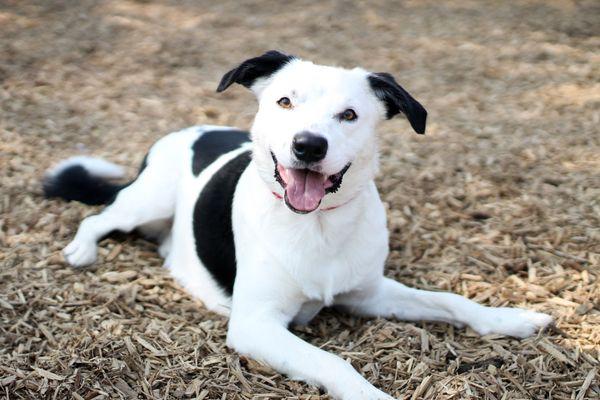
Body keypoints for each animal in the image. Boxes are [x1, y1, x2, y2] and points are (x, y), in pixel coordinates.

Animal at [43, 50, 552, 400]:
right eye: (285, 101)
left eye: (350, 114)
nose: (308, 145)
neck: (317, 226)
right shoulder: (256, 324)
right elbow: (333, 363)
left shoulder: (370, 294)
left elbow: (449, 301)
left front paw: (509, 318)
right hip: (148, 199)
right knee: (100, 216)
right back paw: (82, 250)